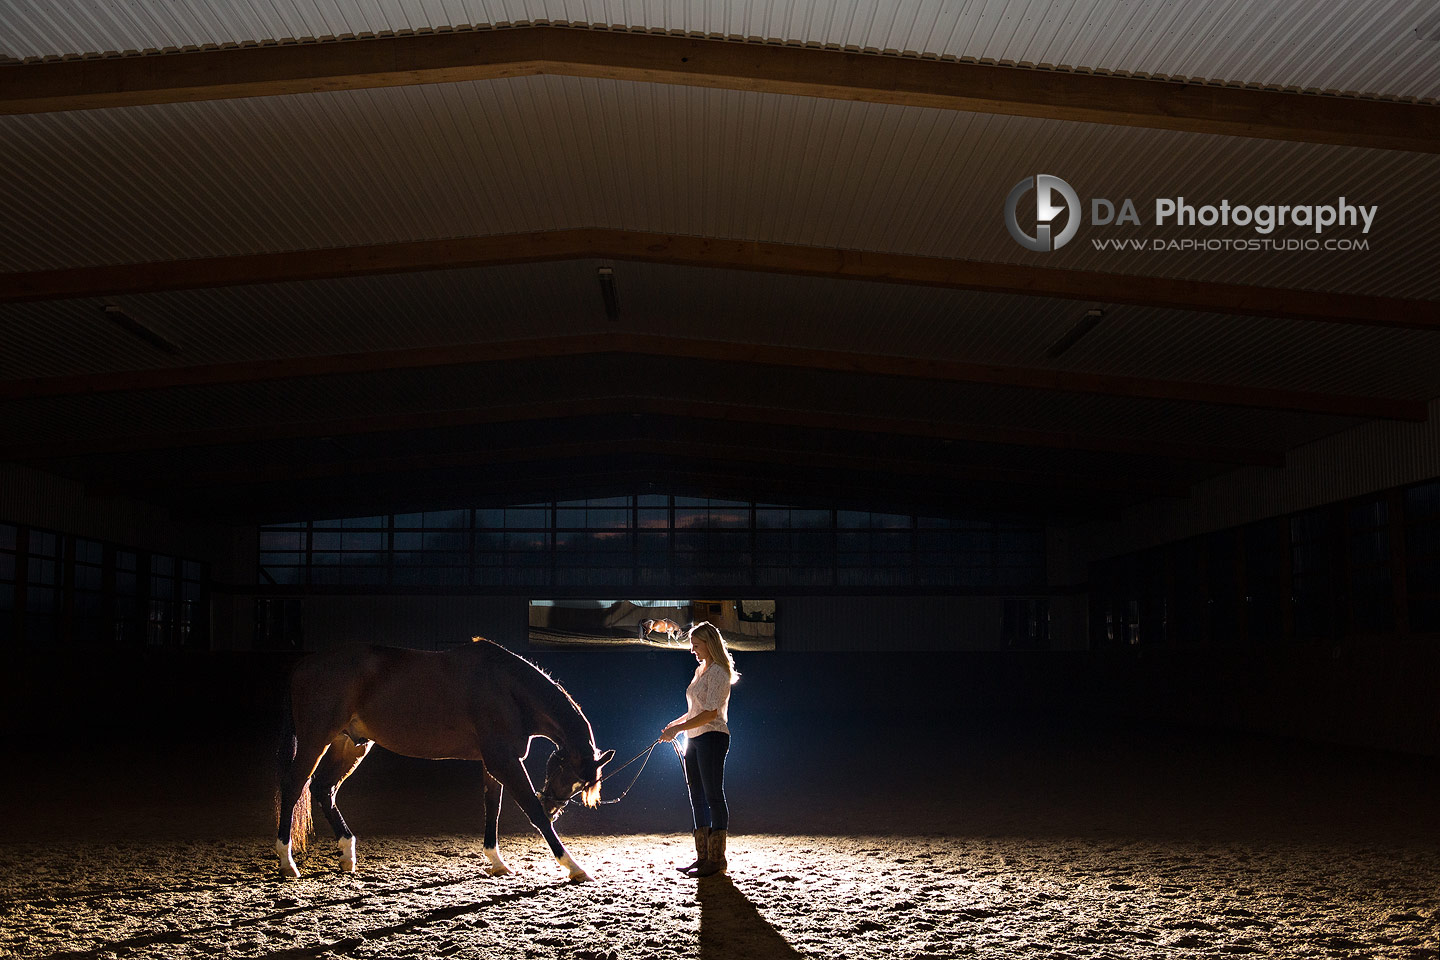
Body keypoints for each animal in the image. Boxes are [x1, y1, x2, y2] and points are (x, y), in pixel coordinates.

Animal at [275, 639, 613, 886]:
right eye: (568, 774)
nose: (553, 807)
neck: (507, 688)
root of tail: (305, 664)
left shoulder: (493, 762)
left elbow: (493, 807)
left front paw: (497, 861)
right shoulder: (503, 761)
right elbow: (531, 812)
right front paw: (574, 867)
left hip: (349, 744)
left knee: (324, 789)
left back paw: (347, 853)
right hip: (316, 740)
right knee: (294, 786)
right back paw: (287, 862)